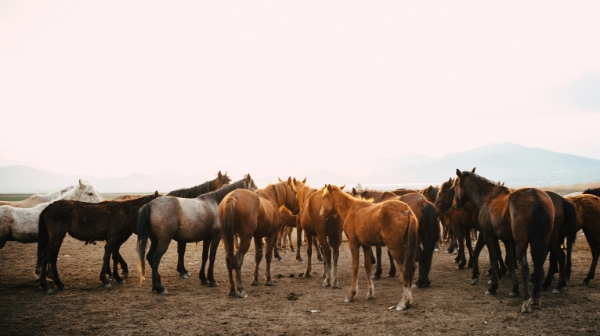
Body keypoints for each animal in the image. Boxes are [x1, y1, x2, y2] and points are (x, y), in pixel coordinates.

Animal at [454, 169, 552, 314]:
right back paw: (535, 297)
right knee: (538, 265)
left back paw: (526, 302)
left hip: (521, 243)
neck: (488, 198)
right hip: (542, 241)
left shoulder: (489, 236)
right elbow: (510, 262)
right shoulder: (508, 240)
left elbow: (493, 260)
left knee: (525, 268)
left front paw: (493, 287)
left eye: (455, 186)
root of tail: (535, 198)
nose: (455, 205)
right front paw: (514, 288)